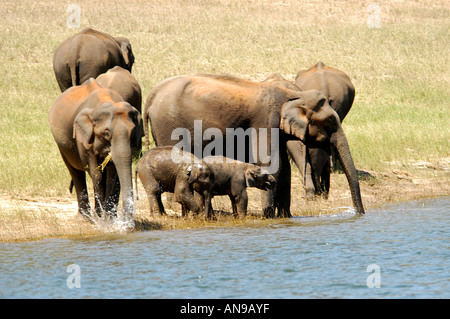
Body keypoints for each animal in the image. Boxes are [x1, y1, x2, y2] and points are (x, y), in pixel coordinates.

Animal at [49, 78, 142, 225]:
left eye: (132, 133)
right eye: (106, 133)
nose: (127, 224)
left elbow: (112, 175)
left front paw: (110, 218)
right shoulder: (82, 137)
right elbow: (96, 174)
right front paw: (101, 217)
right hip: (61, 144)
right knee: (76, 173)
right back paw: (85, 217)